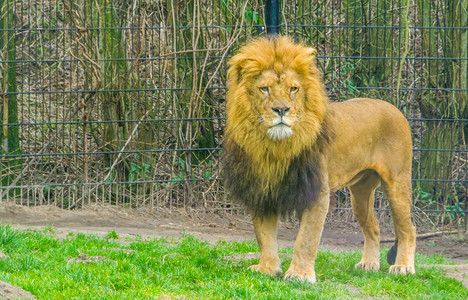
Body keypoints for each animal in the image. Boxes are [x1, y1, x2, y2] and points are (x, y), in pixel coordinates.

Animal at [223, 36, 416, 282]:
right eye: (264, 89)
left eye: (293, 89)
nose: (281, 109)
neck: (275, 147)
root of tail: (394, 108)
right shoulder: (262, 190)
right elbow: (264, 235)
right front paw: (267, 268)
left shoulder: (317, 191)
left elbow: (306, 239)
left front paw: (299, 274)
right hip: (360, 191)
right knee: (373, 227)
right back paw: (368, 264)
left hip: (398, 182)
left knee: (407, 229)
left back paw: (403, 267)